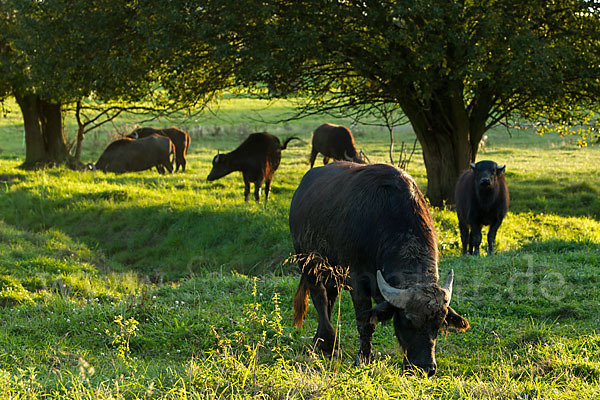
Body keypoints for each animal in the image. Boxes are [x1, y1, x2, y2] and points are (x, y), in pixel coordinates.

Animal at [290, 162, 468, 376]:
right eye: (408, 320)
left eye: (439, 324)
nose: (426, 368)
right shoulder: (357, 282)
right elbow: (365, 323)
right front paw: (364, 358)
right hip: (306, 261)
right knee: (320, 298)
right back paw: (327, 343)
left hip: (333, 272)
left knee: (330, 298)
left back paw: (320, 339)